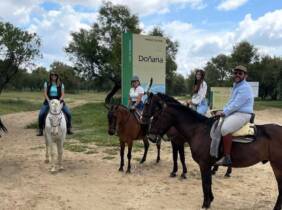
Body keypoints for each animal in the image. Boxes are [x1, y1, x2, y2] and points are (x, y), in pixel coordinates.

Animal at [142, 93, 282, 210]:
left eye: (156, 115)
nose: (151, 136)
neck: (198, 130)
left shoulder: (203, 164)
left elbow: (205, 183)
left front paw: (206, 203)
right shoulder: (207, 164)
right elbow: (208, 182)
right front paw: (210, 200)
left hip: (277, 166)